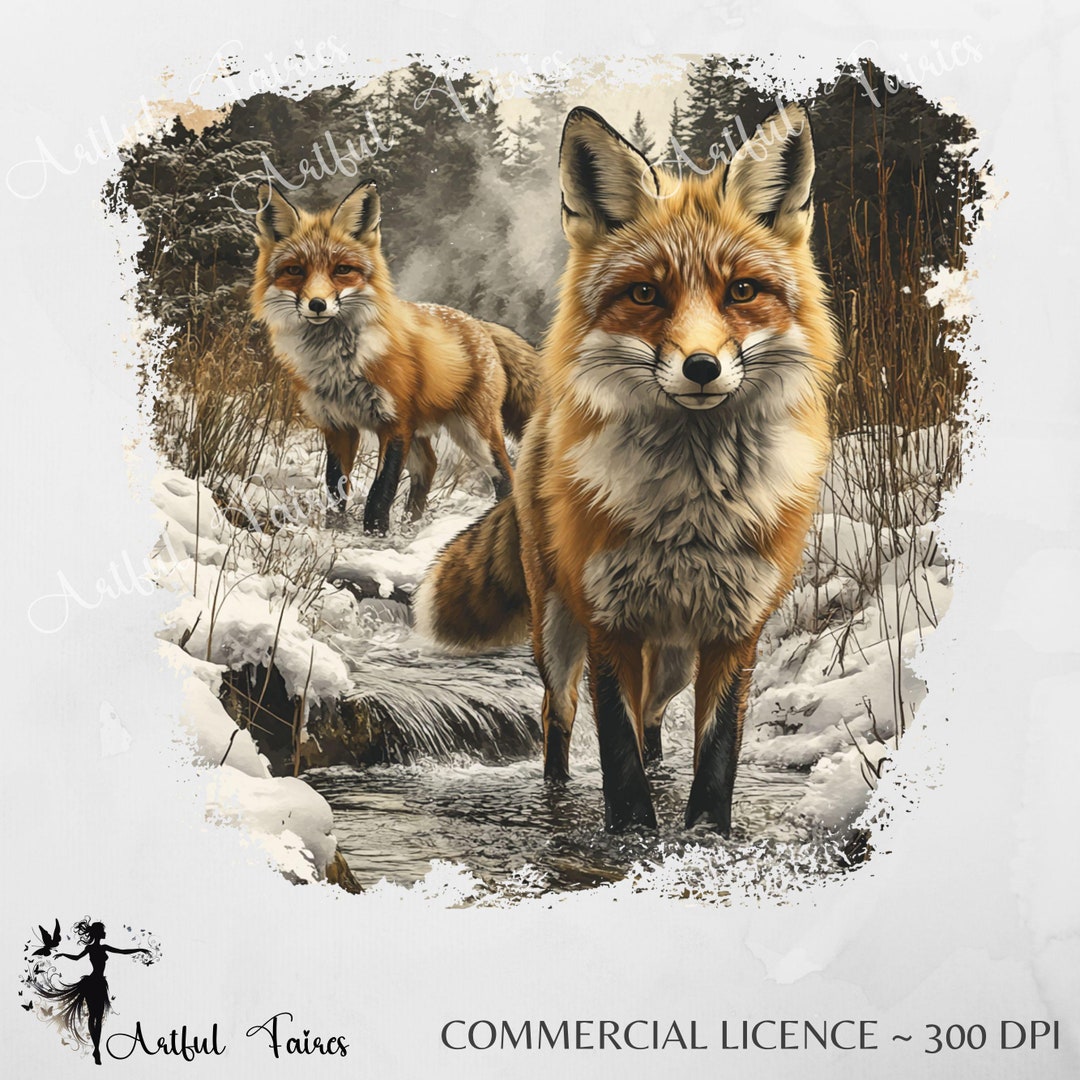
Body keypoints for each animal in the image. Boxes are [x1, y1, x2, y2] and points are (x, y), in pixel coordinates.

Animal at [251, 180, 541, 535]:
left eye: (342, 270)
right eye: (295, 270)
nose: (317, 304)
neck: (338, 365)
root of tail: (479, 324)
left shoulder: (394, 423)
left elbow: (380, 492)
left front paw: (374, 535)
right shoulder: (338, 425)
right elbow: (335, 487)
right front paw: (336, 530)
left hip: (474, 432)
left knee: (505, 475)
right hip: (423, 430)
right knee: (429, 466)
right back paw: (411, 523)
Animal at [415, 105, 841, 833]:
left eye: (742, 291)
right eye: (645, 293)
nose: (702, 367)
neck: (692, 513)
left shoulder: (736, 632)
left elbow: (716, 759)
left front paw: (702, 834)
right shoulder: (607, 623)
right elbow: (617, 759)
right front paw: (634, 834)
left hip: (671, 659)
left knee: (653, 721)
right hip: (558, 635)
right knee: (558, 721)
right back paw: (556, 792)